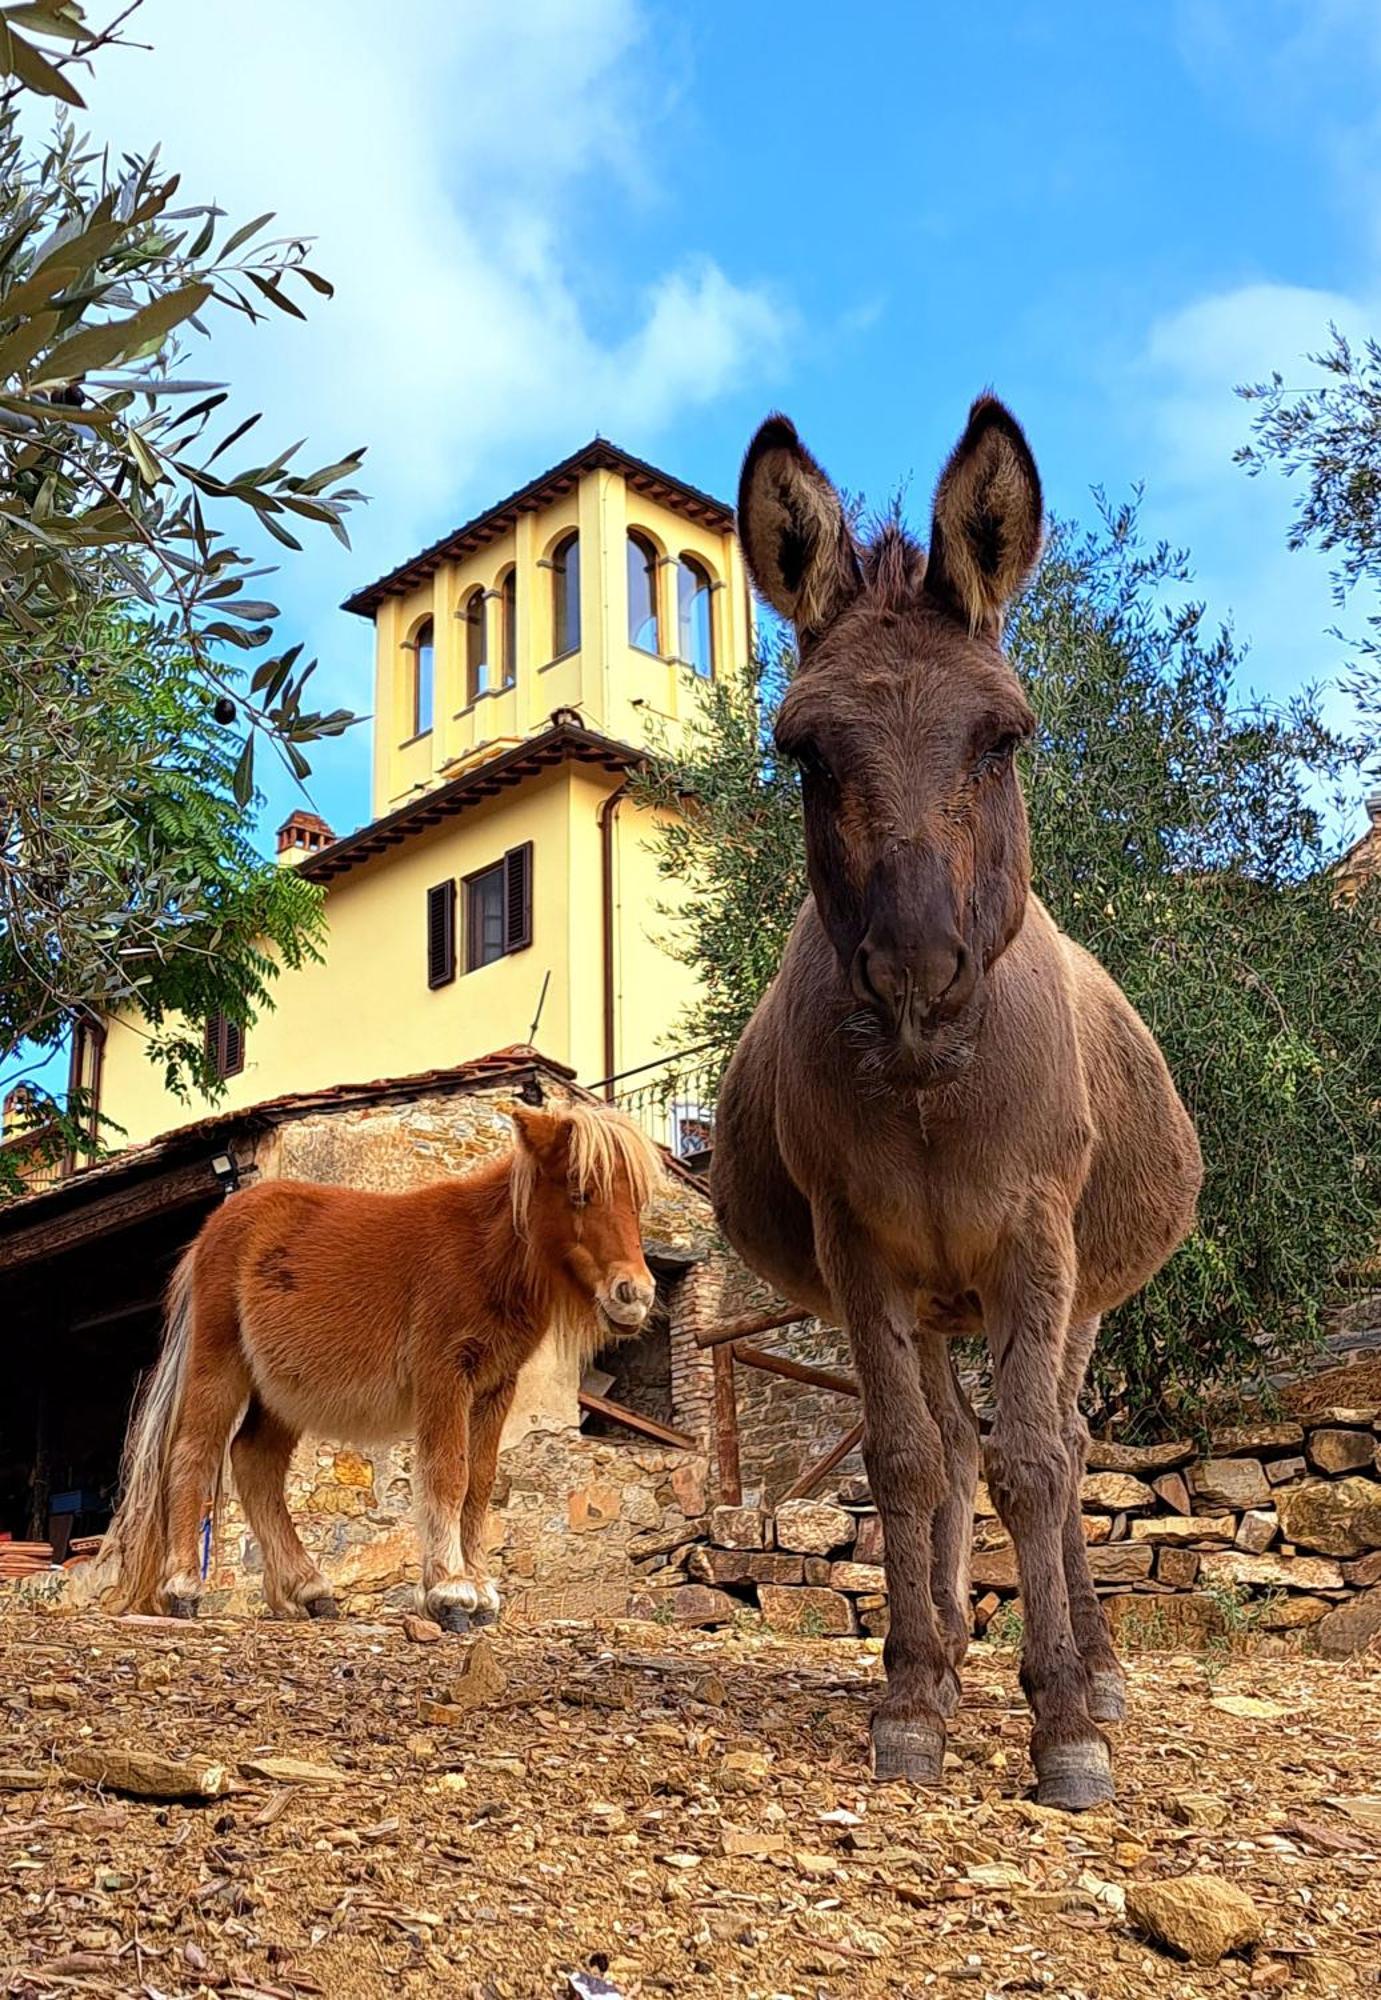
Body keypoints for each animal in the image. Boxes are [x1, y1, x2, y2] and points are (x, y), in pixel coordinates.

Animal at [87, 1104, 660, 1632]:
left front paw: (480, 1592)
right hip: (220, 1367)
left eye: (636, 1202)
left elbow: (479, 1482)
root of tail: (210, 1234)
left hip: (280, 1395)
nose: (635, 1295)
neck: (482, 1253)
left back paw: (307, 1591)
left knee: (254, 1464)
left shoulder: (496, 1387)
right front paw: (452, 1593)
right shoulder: (445, 1375)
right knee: (195, 1455)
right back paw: (183, 1589)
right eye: (579, 1191)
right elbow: (448, 1473)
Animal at [716, 402, 1200, 1816]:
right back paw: (940, 1649)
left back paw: (1093, 1665)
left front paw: (1067, 1727)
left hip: (1081, 1290)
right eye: (804, 753)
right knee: (941, 1447)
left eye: (1003, 738)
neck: (935, 1104)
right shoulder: (861, 1251)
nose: (918, 992)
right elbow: (904, 1462)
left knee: (1071, 1443)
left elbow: (1034, 1461)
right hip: (931, 1296)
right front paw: (913, 1696)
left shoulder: (1037, 1239)